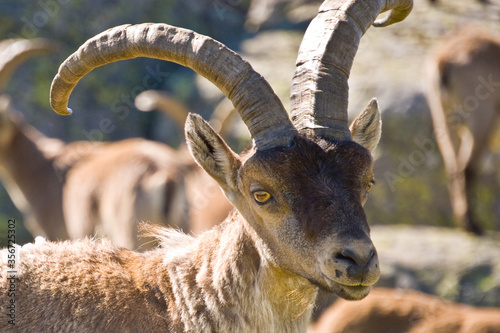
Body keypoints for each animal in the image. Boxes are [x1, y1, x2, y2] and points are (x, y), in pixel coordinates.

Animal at [426, 26, 500, 233]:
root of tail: (444, 60)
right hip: (480, 118)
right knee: (466, 168)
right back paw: (472, 225)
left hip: (443, 119)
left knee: (453, 167)